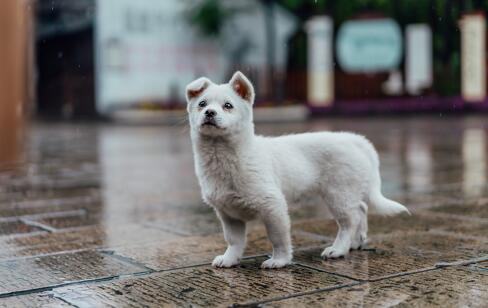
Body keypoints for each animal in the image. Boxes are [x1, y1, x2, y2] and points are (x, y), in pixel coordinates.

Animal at [185, 71, 410, 268]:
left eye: (228, 106)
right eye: (202, 104)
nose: (209, 113)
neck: (224, 156)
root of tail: (355, 139)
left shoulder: (273, 206)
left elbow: (278, 238)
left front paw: (280, 261)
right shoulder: (229, 214)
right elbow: (234, 240)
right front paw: (229, 259)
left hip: (339, 193)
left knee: (350, 220)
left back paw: (338, 249)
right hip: (348, 192)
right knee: (361, 209)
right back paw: (356, 243)